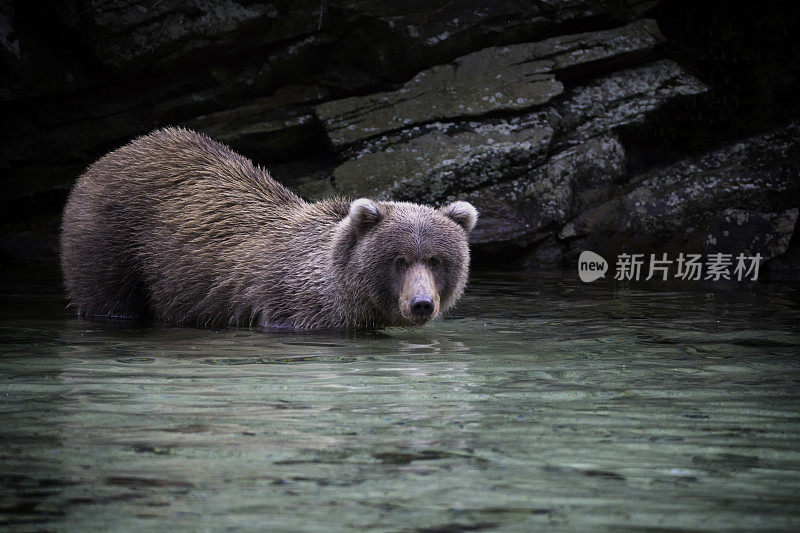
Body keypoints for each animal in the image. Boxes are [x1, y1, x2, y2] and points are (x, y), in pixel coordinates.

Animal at [62, 129, 478, 328]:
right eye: (399, 260)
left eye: (437, 260)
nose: (421, 303)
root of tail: (109, 156)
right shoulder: (294, 309)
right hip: (113, 237)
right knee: (107, 296)